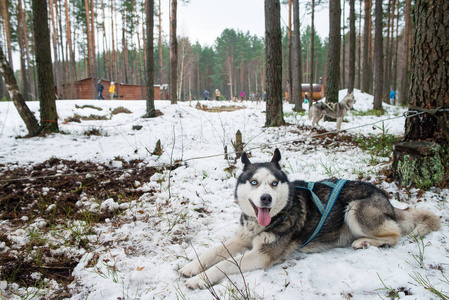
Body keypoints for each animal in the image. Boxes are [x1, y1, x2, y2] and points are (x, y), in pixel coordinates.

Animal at [178, 149, 438, 290]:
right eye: (254, 182)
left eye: (274, 183)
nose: (266, 198)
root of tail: (388, 201)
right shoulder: (243, 237)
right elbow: (214, 251)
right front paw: (192, 266)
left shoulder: (262, 254)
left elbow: (224, 264)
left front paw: (200, 279)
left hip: (354, 209)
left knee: (394, 234)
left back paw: (366, 242)